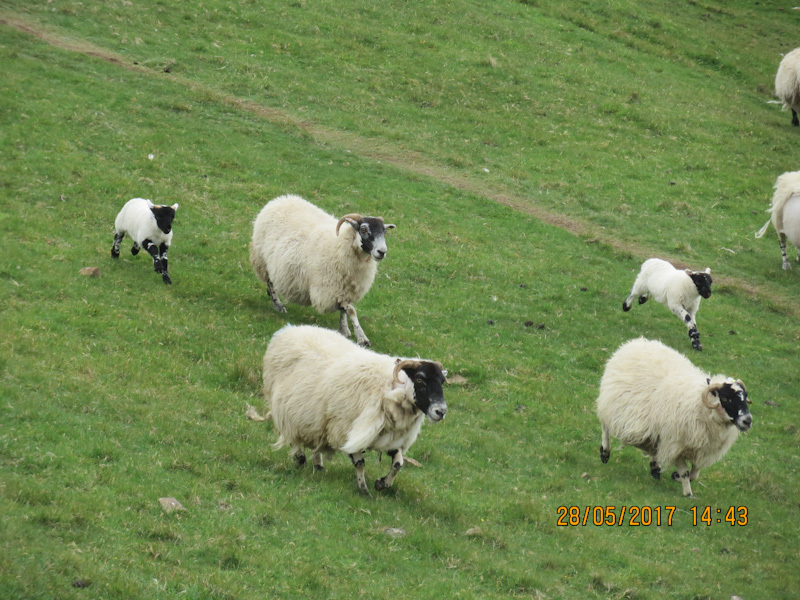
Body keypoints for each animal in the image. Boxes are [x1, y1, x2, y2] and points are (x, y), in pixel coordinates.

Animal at [250, 195, 394, 346]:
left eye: (384, 232)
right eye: (364, 229)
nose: (382, 252)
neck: (341, 245)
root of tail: (280, 199)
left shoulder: (344, 289)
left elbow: (345, 310)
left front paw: (344, 329)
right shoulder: (328, 290)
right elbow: (351, 310)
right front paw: (362, 338)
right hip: (262, 259)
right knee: (270, 282)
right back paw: (278, 305)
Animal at [264, 326, 446, 494]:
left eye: (442, 381)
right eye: (420, 379)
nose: (441, 411)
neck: (390, 388)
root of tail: (288, 329)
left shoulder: (391, 437)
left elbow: (398, 464)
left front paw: (382, 484)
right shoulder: (345, 431)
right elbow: (360, 463)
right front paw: (364, 489)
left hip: (316, 419)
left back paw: (318, 465)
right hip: (286, 411)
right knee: (292, 437)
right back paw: (300, 459)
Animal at [596, 338, 752, 496]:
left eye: (745, 397)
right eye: (725, 398)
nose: (747, 420)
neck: (699, 406)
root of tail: (636, 342)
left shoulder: (702, 449)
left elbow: (695, 473)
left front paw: (675, 476)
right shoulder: (676, 443)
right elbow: (685, 472)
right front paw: (687, 493)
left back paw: (655, 468)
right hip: (611, 404)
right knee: (605, 425)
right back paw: (605, 452)